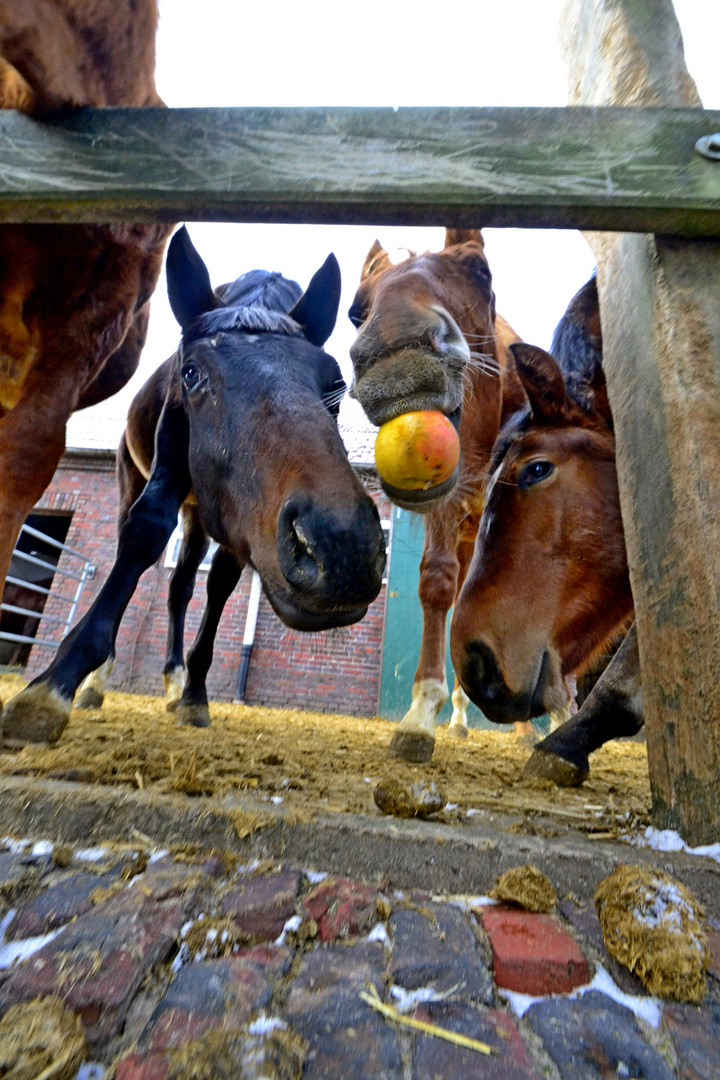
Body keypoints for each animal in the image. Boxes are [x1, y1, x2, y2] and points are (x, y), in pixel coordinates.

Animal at [1, 228, 388, 747]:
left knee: (182, 584)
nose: (341, 546)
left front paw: (195, 691)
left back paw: (174, 678)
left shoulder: (238, 518)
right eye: (191, 374)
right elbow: (145, 533)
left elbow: (219, 582)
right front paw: (56, 682)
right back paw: (99, 682)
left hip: (200, 515)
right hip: (134, 477)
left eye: (336, 384)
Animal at [347, 225, 524, 760]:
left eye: (480, 271)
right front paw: (421, 714)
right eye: (356, 310)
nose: (397, 350)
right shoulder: (446, 505)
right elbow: (438, 584)